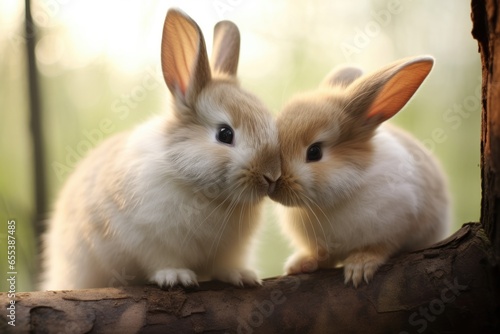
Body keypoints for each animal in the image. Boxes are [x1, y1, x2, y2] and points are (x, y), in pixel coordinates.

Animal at [40, 8, 282, 290]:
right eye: (225, 134)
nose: (272, 176)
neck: (202, 191)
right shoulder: (147, 238)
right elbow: (161, 260)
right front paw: (176, 276)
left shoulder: (230, 250)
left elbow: (224, 265)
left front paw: (241, 275)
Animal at [272, 56, 452, 288]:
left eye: (314, 152)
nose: (274, 185)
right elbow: (322, 257)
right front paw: (299, 265)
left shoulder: (396, 223)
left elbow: (380, 247)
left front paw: (359, 267)